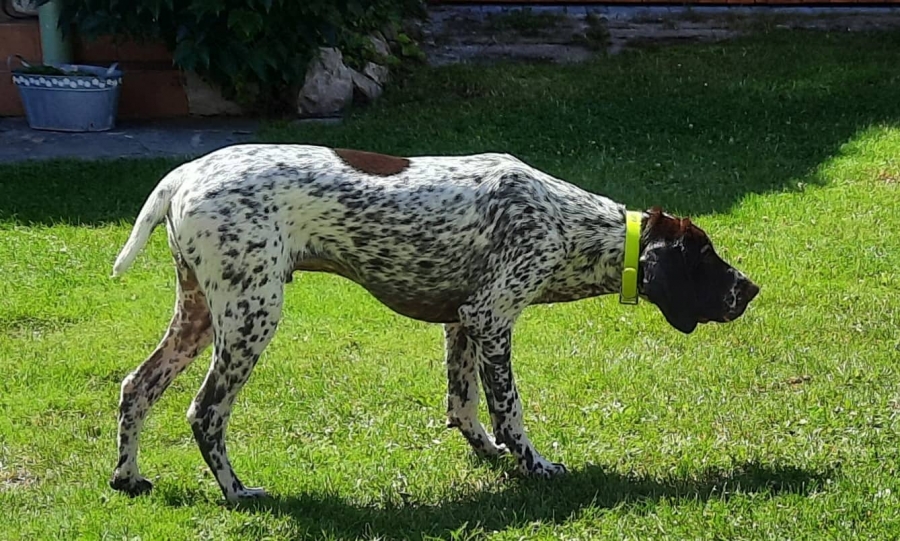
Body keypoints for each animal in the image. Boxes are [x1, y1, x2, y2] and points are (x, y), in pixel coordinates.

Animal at [108, 144, 759, 502]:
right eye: (707, 258)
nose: (751, 289)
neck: (571, 226)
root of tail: (184, 174)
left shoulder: (462, 324)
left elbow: (463, 406)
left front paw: (488, 454)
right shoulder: (492, 319)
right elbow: (510, 413)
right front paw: (534, 466)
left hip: (198, 317)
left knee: (136, 387)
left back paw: (128, 478)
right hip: (250, 317)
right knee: (205, 412)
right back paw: (238, 492)